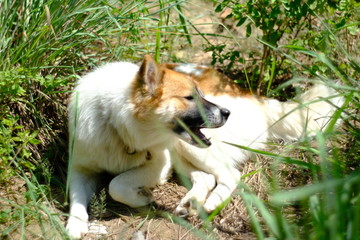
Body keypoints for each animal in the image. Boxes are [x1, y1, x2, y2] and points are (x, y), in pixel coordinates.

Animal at [65, 54, 229, 238]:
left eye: (200, 95)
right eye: (189, 97)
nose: (227, 113)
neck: (114, 124)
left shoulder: (160, 165)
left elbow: (115, 184)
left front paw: (141, 197)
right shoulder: (79, 169)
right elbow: (76, 196)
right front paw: (75, 224)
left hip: (188, 149)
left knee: (230, 174)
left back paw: (214, 202)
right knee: (206, 177)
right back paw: (190, 202)